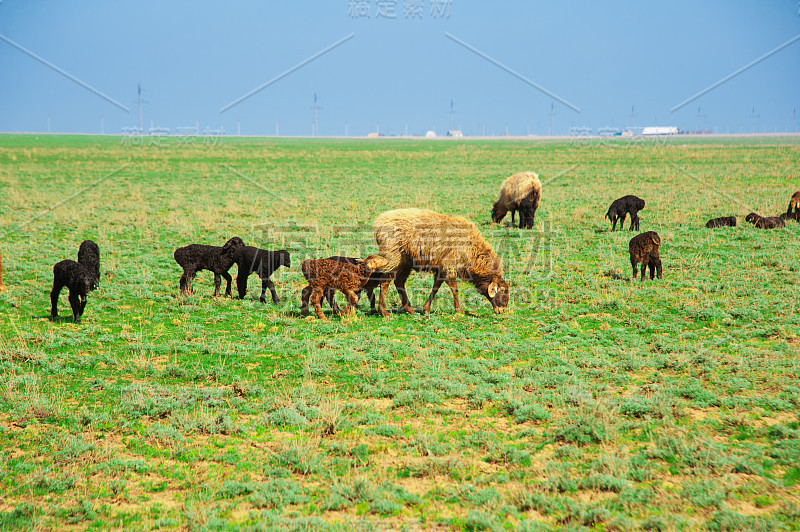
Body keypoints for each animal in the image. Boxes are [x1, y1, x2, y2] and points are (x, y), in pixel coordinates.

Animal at [374, 208, 510, 316]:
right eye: (502, 290)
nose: (503, 310)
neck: (473, 251)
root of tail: (379, 224)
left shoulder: (441, 268)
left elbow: (436, 287)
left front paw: (426, 309)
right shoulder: (450, 265)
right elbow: (454, 288)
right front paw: (459, 311)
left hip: (405, 261)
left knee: (399, 282)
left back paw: (409, 310)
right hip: (393, 255)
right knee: (385, 281)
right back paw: (384, 312)